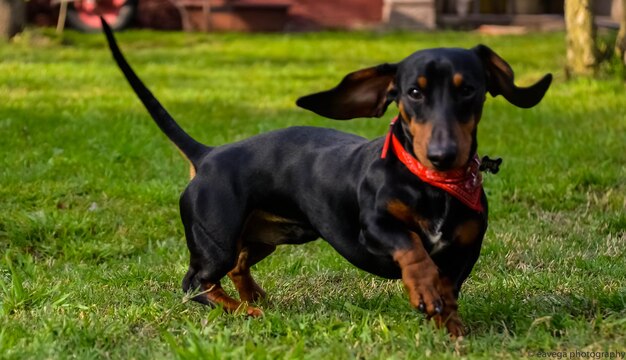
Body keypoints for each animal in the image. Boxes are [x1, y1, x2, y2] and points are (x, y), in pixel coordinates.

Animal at [100, 18, 548, 336]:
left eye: (468, 89)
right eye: (414, 93)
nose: (442, 155)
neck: (433, 185)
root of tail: (207, 155)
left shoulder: (466, 250)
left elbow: (449, 290)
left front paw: (449, 326)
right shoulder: (375, 229)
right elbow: (413, 249)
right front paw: (423, 288)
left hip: (272, 235)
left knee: (238, 267)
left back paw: (254, 297)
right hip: (216, 241)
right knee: (196, 282)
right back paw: (244, 309)